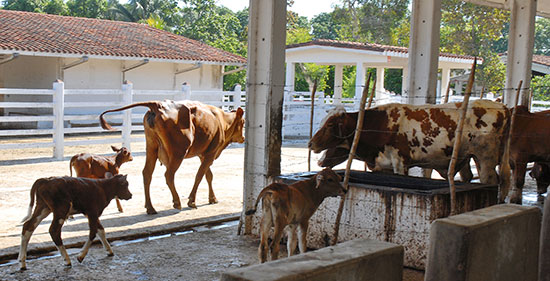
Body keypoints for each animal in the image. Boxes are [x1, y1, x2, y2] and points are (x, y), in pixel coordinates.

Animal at [99, 100, 246, 212]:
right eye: (243, 122)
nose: (243, 138)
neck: (222, 120)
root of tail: (158, 105)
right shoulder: (210, 153)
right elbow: (200, 175)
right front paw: (192, 201)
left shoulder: (202, 154)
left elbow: (208, 175)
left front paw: (212, 198)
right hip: (178, 153)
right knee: (169, 175)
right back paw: (177, 202)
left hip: (151, 147)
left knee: (147, 174)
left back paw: (150, 208)